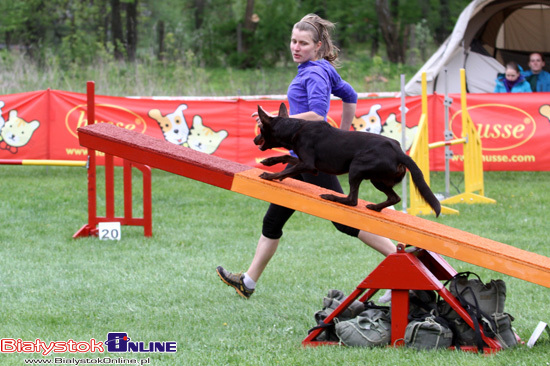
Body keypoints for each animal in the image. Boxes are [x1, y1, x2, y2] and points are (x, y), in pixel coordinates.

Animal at [256, 103, 444, 216]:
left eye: (261, 128)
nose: (254, 139)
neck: (295, 128)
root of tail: (399, 151)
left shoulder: (308, 164)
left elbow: (286, 170)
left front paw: (270, 175)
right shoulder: (312, 166)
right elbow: (287, 157)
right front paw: (269, 162)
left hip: (356, 168)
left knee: (352, 200)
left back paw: (330, 196)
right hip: (377, 179)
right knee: (394, 198)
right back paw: (375, 207)